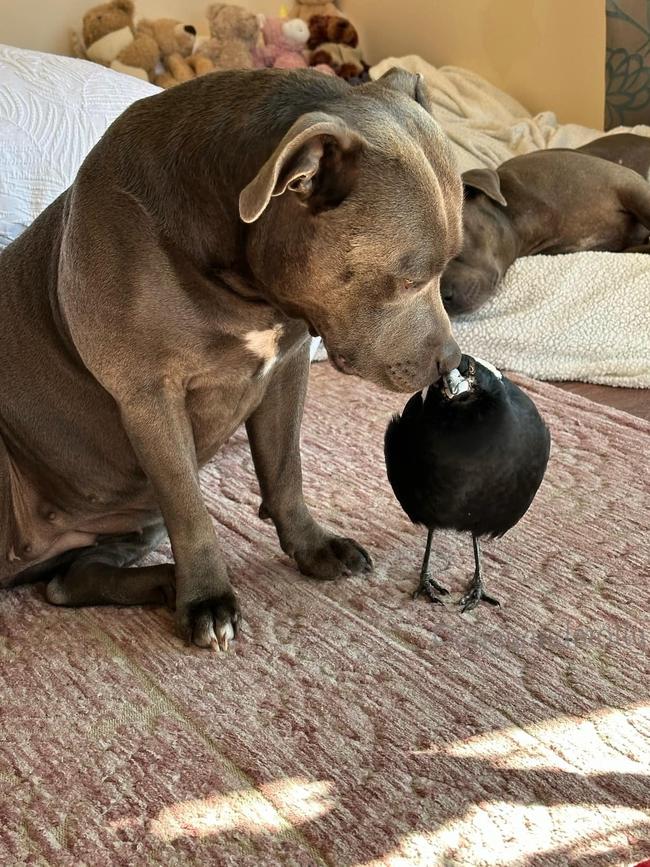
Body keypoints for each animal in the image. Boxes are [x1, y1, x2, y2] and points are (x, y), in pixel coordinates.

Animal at [0, 69, 460, 652]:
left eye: (452, 263)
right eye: (407, 279)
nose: (453, 361)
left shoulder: (285, 370)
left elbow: (286, 472)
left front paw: (313, 547)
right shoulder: (151, 400)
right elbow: (192, 514)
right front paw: (206, 600)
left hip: (132, 514)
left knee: (67, 582)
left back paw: (161, 581)